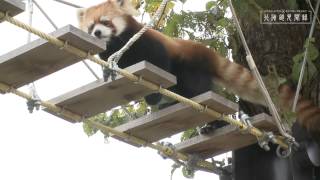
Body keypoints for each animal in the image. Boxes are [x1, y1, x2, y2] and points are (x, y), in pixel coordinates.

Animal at [76, 0, 318, 135]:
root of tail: (207, 53)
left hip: (191, 69)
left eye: (105, 22)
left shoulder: (148, 42)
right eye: (91, 25)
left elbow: (160, 63)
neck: (118, 44)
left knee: (197, 90)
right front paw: (109, 70)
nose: (97, 33)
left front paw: (154, 96)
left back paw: (213, 123)